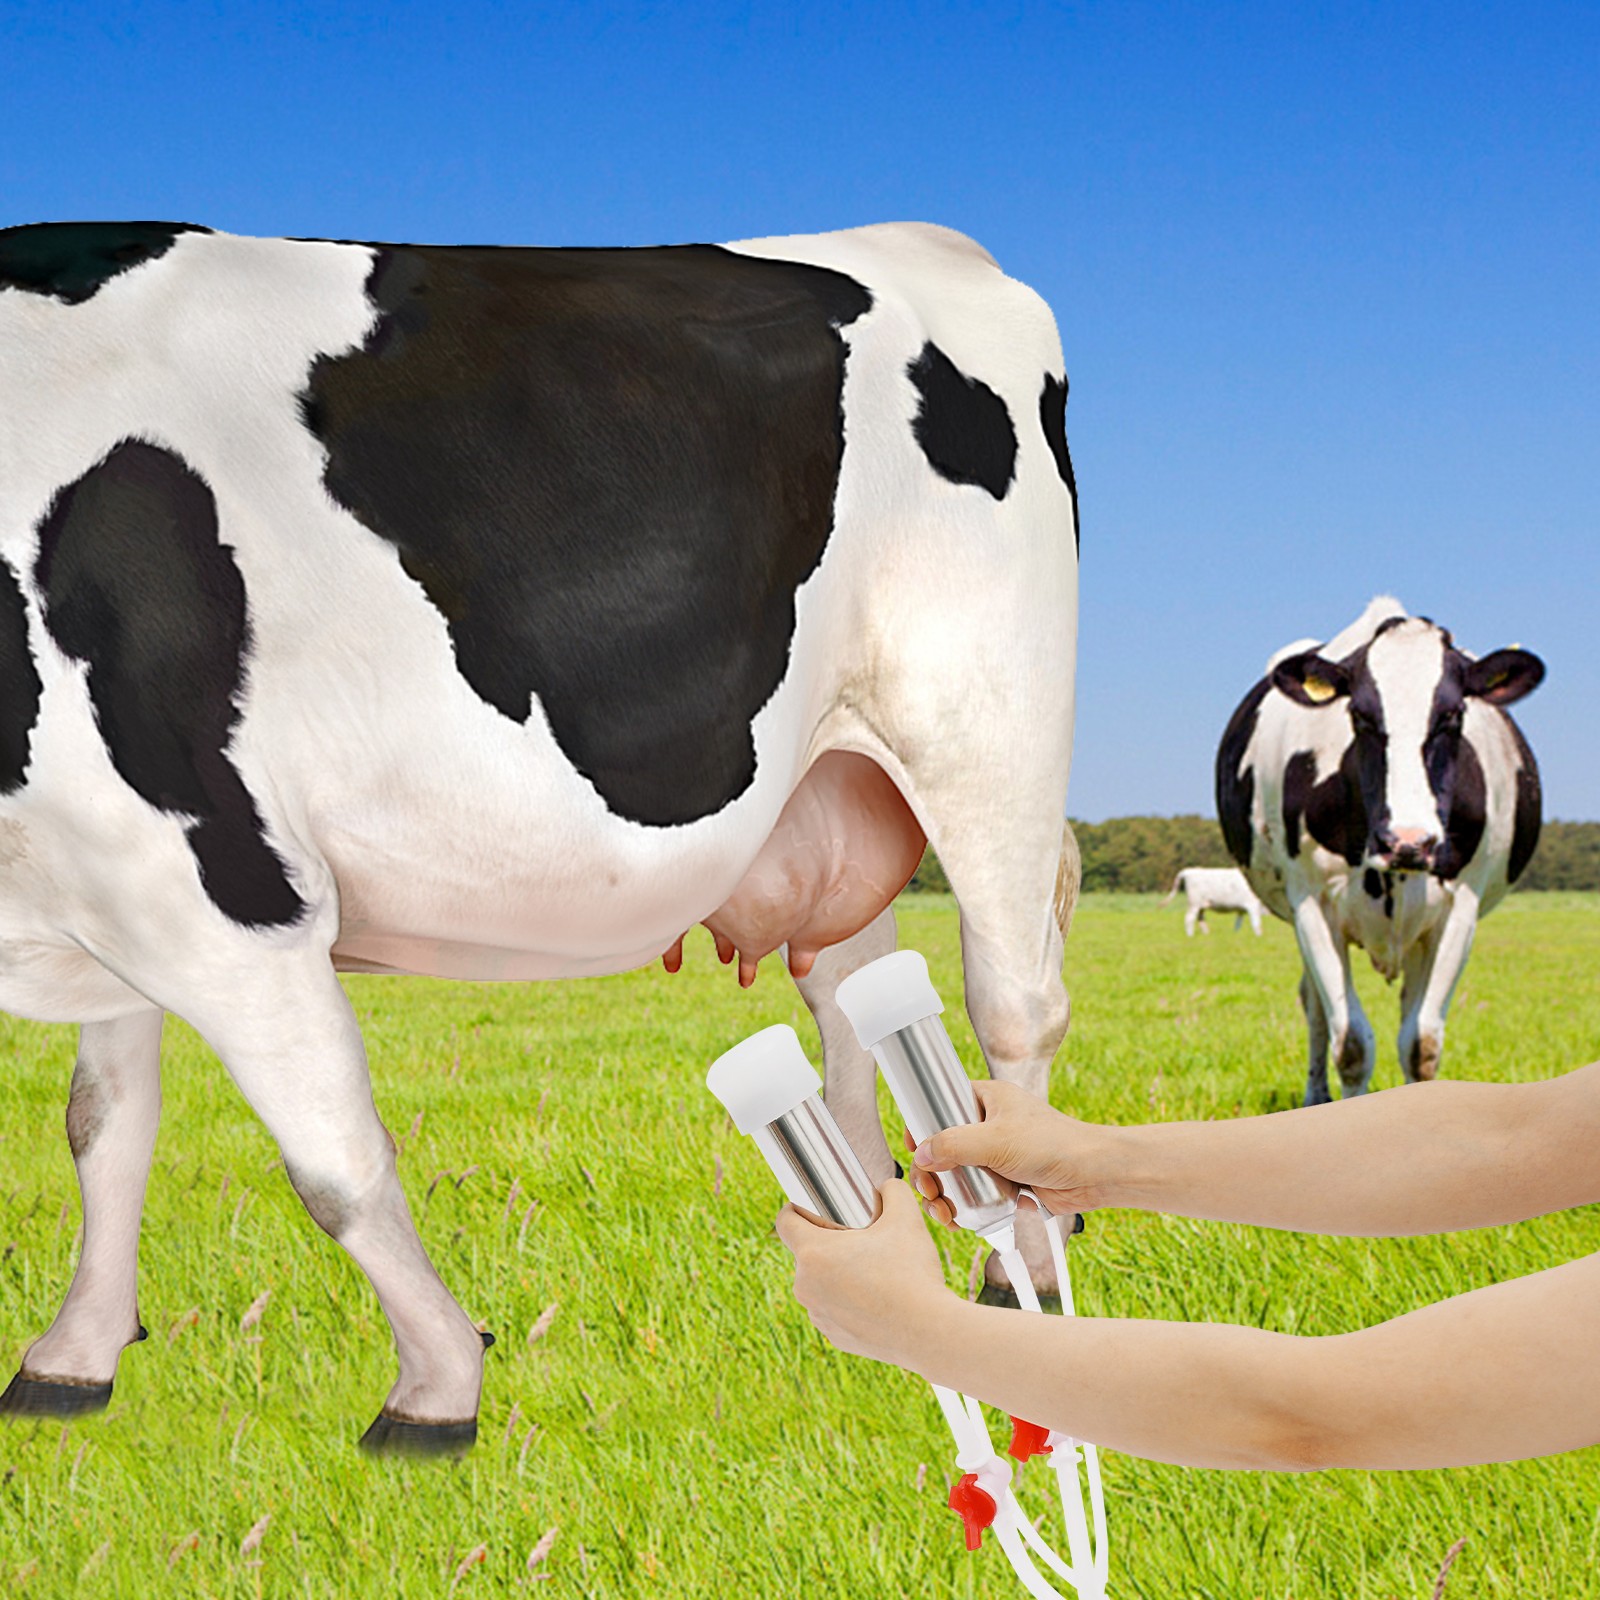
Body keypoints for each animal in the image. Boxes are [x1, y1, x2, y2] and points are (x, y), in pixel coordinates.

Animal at [0, 220, 1080, 1451]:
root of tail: (925, 240)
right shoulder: (107, 877)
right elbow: (103, 1127)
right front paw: (74, 1354)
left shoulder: (223, 880)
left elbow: (333, 1162)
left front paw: (437, 1381)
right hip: (831, 777)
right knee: (850, 992)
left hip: (987, 727)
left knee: (1016, 1004)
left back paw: (1017, 1268)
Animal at [1215, 596, 1542, 1107]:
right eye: (1360, 716)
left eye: (1453, 714)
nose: (1408, 840)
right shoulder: (1312, 905)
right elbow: (1350, 1044)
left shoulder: (1460, 908)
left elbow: (1421, 1045)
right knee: (1314, 1005)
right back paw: (1315, 1096)